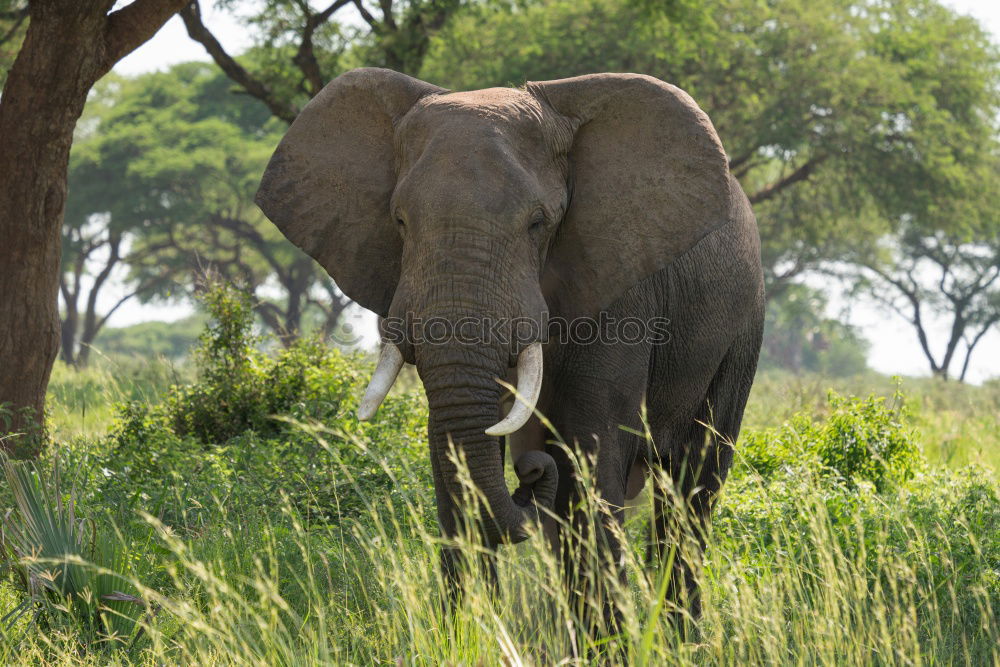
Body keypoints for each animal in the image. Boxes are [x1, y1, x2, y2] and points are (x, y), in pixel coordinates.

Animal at [254, 68, 760, 628]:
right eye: (400, 222)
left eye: (538, 223)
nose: (529, 472)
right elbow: (454, 449)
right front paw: (470, 633)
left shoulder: (621, 282)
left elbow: (592, 438)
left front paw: (605, 640)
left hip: (741, 330)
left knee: (692, 485)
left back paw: (677, 634)